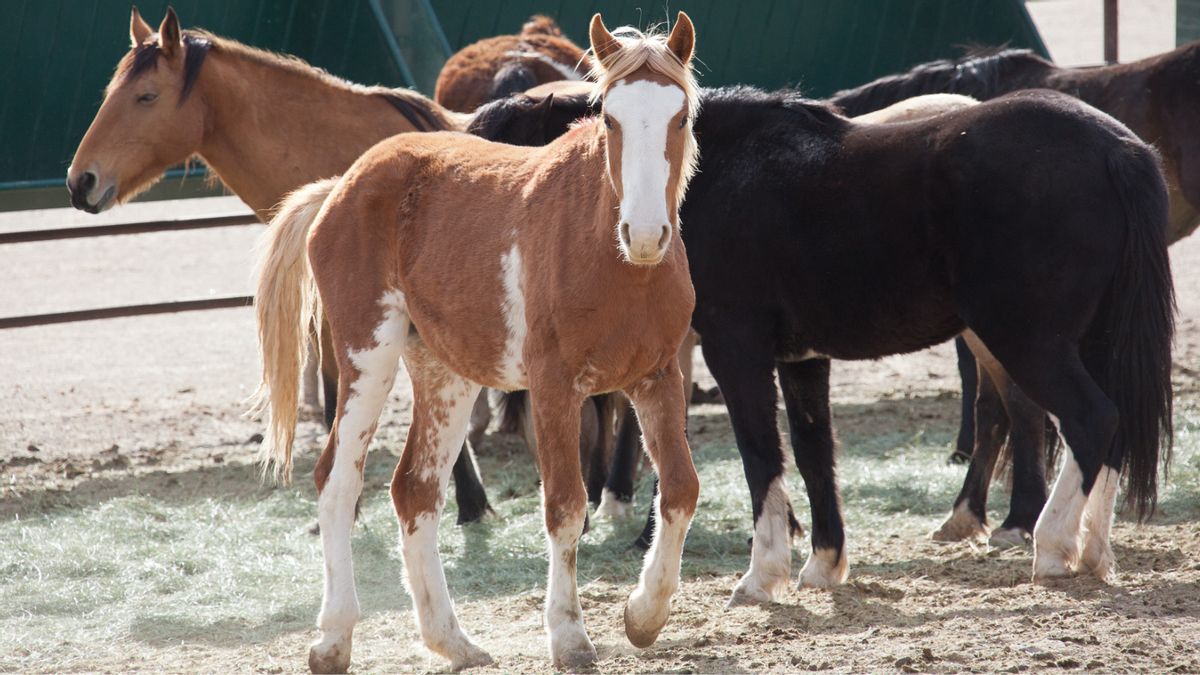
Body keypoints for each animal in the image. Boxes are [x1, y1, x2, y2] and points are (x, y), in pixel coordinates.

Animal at [464, 84, 1174, 603]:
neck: (712, 178)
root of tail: (1114, 144)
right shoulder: (802, 360)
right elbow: (813, 456)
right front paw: (823, 564)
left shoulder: (737, 350)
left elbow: (760, 455)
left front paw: (762, 576)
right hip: (1079, 340)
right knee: (1107, 427)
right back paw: (1092, 551)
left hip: (1028, 340)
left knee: (1090, 418)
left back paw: (1050, 546)